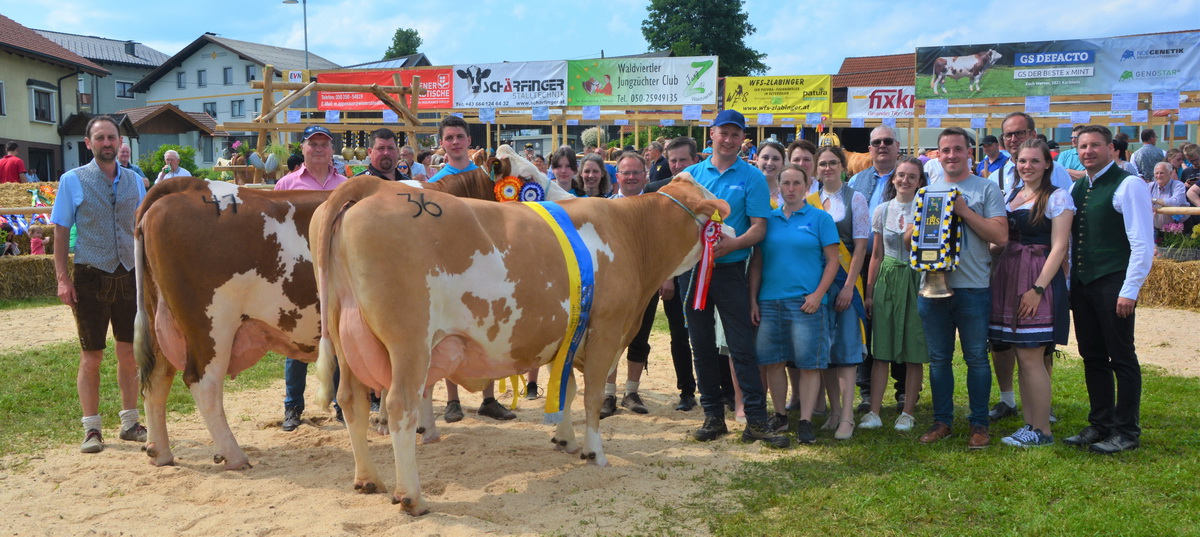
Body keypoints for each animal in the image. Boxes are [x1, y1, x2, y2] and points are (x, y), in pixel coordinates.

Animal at [132, 145, 566, 467]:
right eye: (527, 179)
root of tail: (184, 186)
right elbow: (419, 381)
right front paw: (413, 426)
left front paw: (409, 425)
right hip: (210, 324)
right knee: (203, 385)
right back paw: (234, 455)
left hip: (163, 318)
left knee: (156, 380)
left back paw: (160, 452)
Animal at [309, 173, 729, 513]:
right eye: (713, 214)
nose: (729, 238)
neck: (630, 231)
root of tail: (375, 186)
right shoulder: (606, 330)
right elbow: (592, 396)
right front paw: (595, 452)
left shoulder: (568, 336)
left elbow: (566, 389)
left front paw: (565, 439)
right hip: (409, 341)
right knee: (399, 406)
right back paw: (412, 496)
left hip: (346, 335)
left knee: (350, 400)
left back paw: (368, 480)